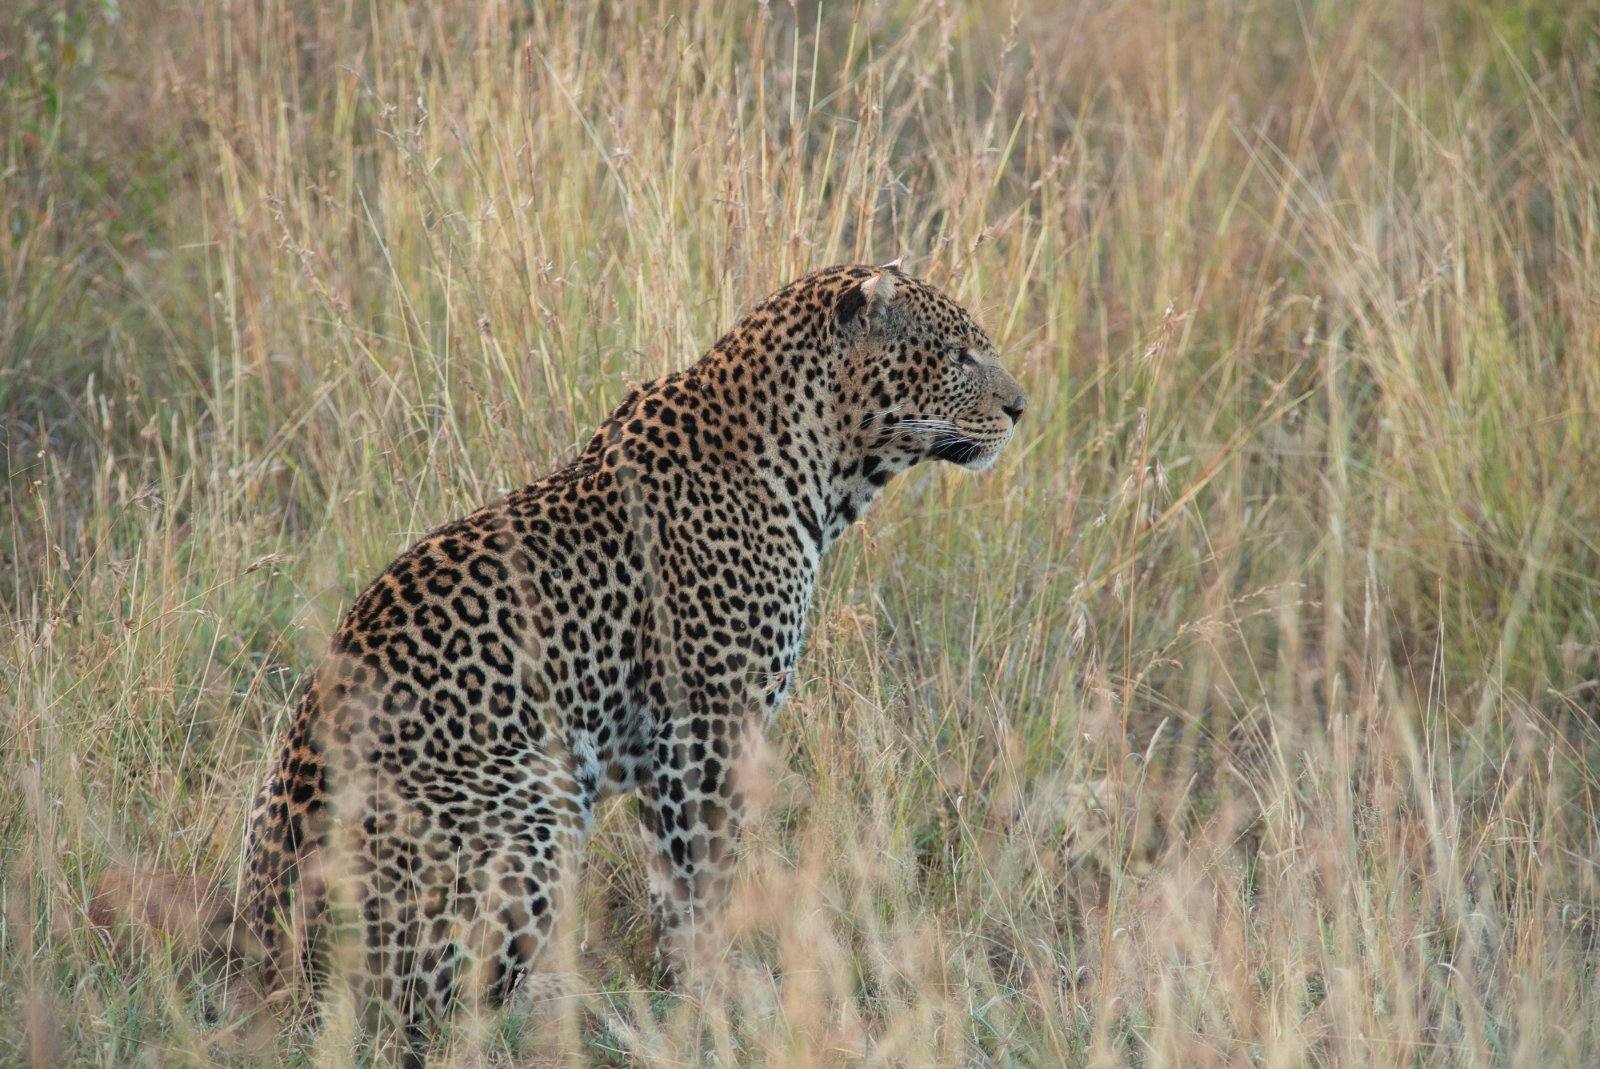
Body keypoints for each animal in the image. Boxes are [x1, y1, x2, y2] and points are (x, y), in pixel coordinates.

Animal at [237, 261, 1026, 1046]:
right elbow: (701, 880)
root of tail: (275, 972)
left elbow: (673, 885)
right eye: (957, 354)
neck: (821, 470)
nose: (1020, 408)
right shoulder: (704, 729)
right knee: (434, 1012)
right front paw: (709, 1000)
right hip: (537, 798)